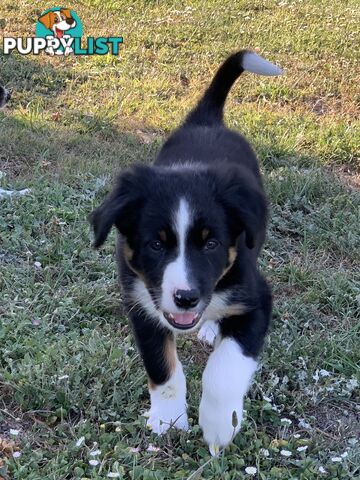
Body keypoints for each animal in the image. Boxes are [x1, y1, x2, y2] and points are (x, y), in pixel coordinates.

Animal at [90, 50, 282, 456]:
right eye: (156, 244)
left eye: (210, 244)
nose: (186, 298)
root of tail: (206, 120)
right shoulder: (142, 304)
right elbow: (162, 367)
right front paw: (168, 419)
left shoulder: (257, 299)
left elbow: (225, 370)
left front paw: (220, 426)